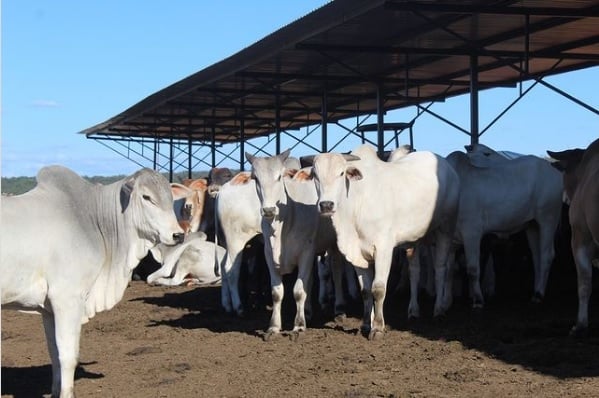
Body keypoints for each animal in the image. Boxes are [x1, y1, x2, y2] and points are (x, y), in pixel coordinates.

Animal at [0, 166, 185, 398]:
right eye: (146, 197)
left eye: (171, 197)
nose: (178, 235)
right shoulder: (67, 299)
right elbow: (68, 356)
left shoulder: (48, 309)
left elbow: (54, 354)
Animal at [446, 145, 568, 310]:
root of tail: (554, 171)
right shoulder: (451, 239)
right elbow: (449, 270)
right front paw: (445, 303)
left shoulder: (472, 233)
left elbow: (472, 269)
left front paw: (478, 300)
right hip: (532, 225)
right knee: (537, 256)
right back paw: (535, 292)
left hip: (548, 218)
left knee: (547, 255)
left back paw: (539, 294)